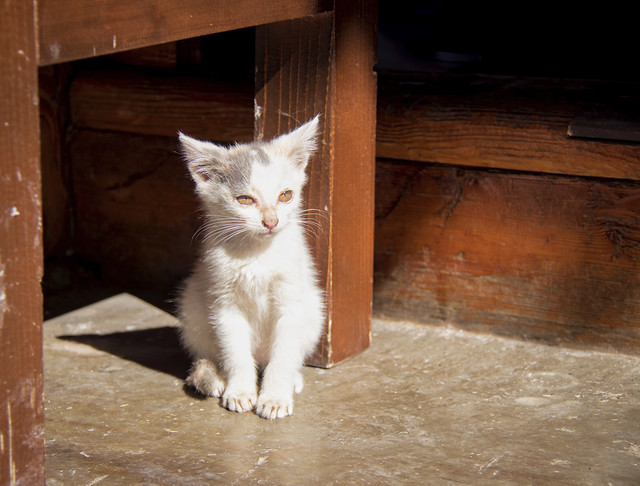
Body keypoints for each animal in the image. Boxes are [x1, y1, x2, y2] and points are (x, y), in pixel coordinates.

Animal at [176, 117, 322, 418]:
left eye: (286, 195)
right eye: (245, 200)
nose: (271, 221)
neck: (257, 254)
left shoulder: (292, 300)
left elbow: (283, 354)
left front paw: (275, 397)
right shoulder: (224, 304)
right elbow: (236, 352)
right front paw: (241, 391)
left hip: (315, 310)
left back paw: (292, 379)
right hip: (192, 308)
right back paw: (214, 376)